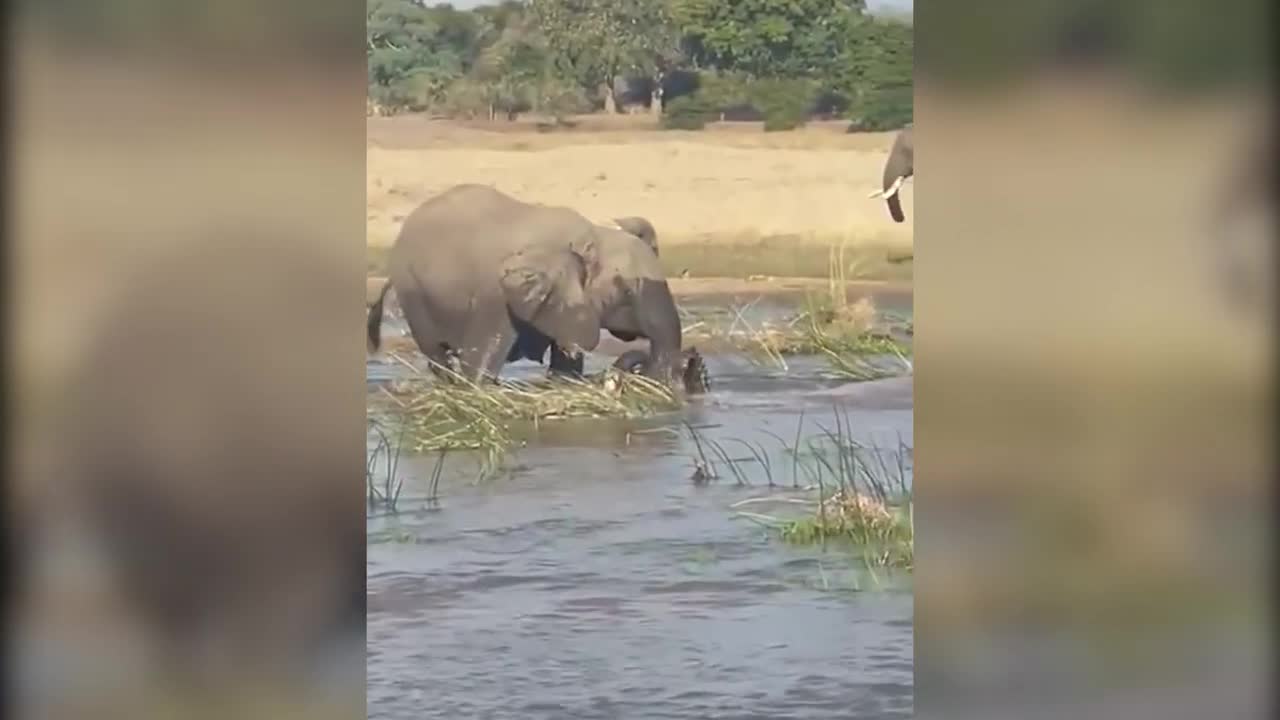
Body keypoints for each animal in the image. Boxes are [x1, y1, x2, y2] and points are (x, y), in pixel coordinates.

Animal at [371, 184, 691, 386]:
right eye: (625, 290)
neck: (592, 235)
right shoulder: (496, 293)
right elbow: (479, 362)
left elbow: (565, 365)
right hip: (412, 290)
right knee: (437, 354)